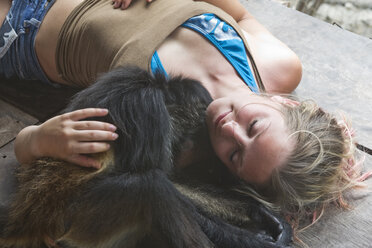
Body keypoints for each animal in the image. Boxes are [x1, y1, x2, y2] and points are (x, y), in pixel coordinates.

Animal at [0, 67, 292, 247]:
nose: (197, 135)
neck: (157, 87)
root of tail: (29, 219)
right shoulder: (149, 110)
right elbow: (162, 179)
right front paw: (252, 240)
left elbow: (172, 178)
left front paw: (261, 214)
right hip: (78, 220)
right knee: (149, 187)